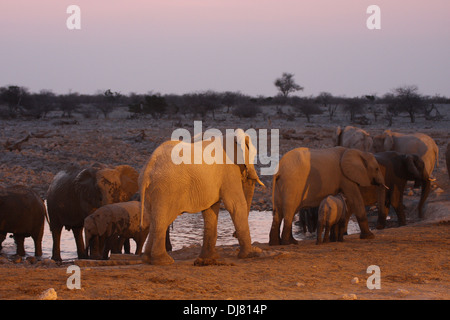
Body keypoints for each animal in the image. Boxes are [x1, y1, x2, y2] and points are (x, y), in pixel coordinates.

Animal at [137, 127, 264, 264]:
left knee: (153, 220)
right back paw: (164, 261)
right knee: (162, 219)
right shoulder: (229, 171)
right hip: (166, 189)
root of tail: (148, 168)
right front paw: (250, 255)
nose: (233, 234)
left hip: (152, 191)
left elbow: (210, 210)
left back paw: (147, 258)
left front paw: (209, 259)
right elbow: (235, 205)